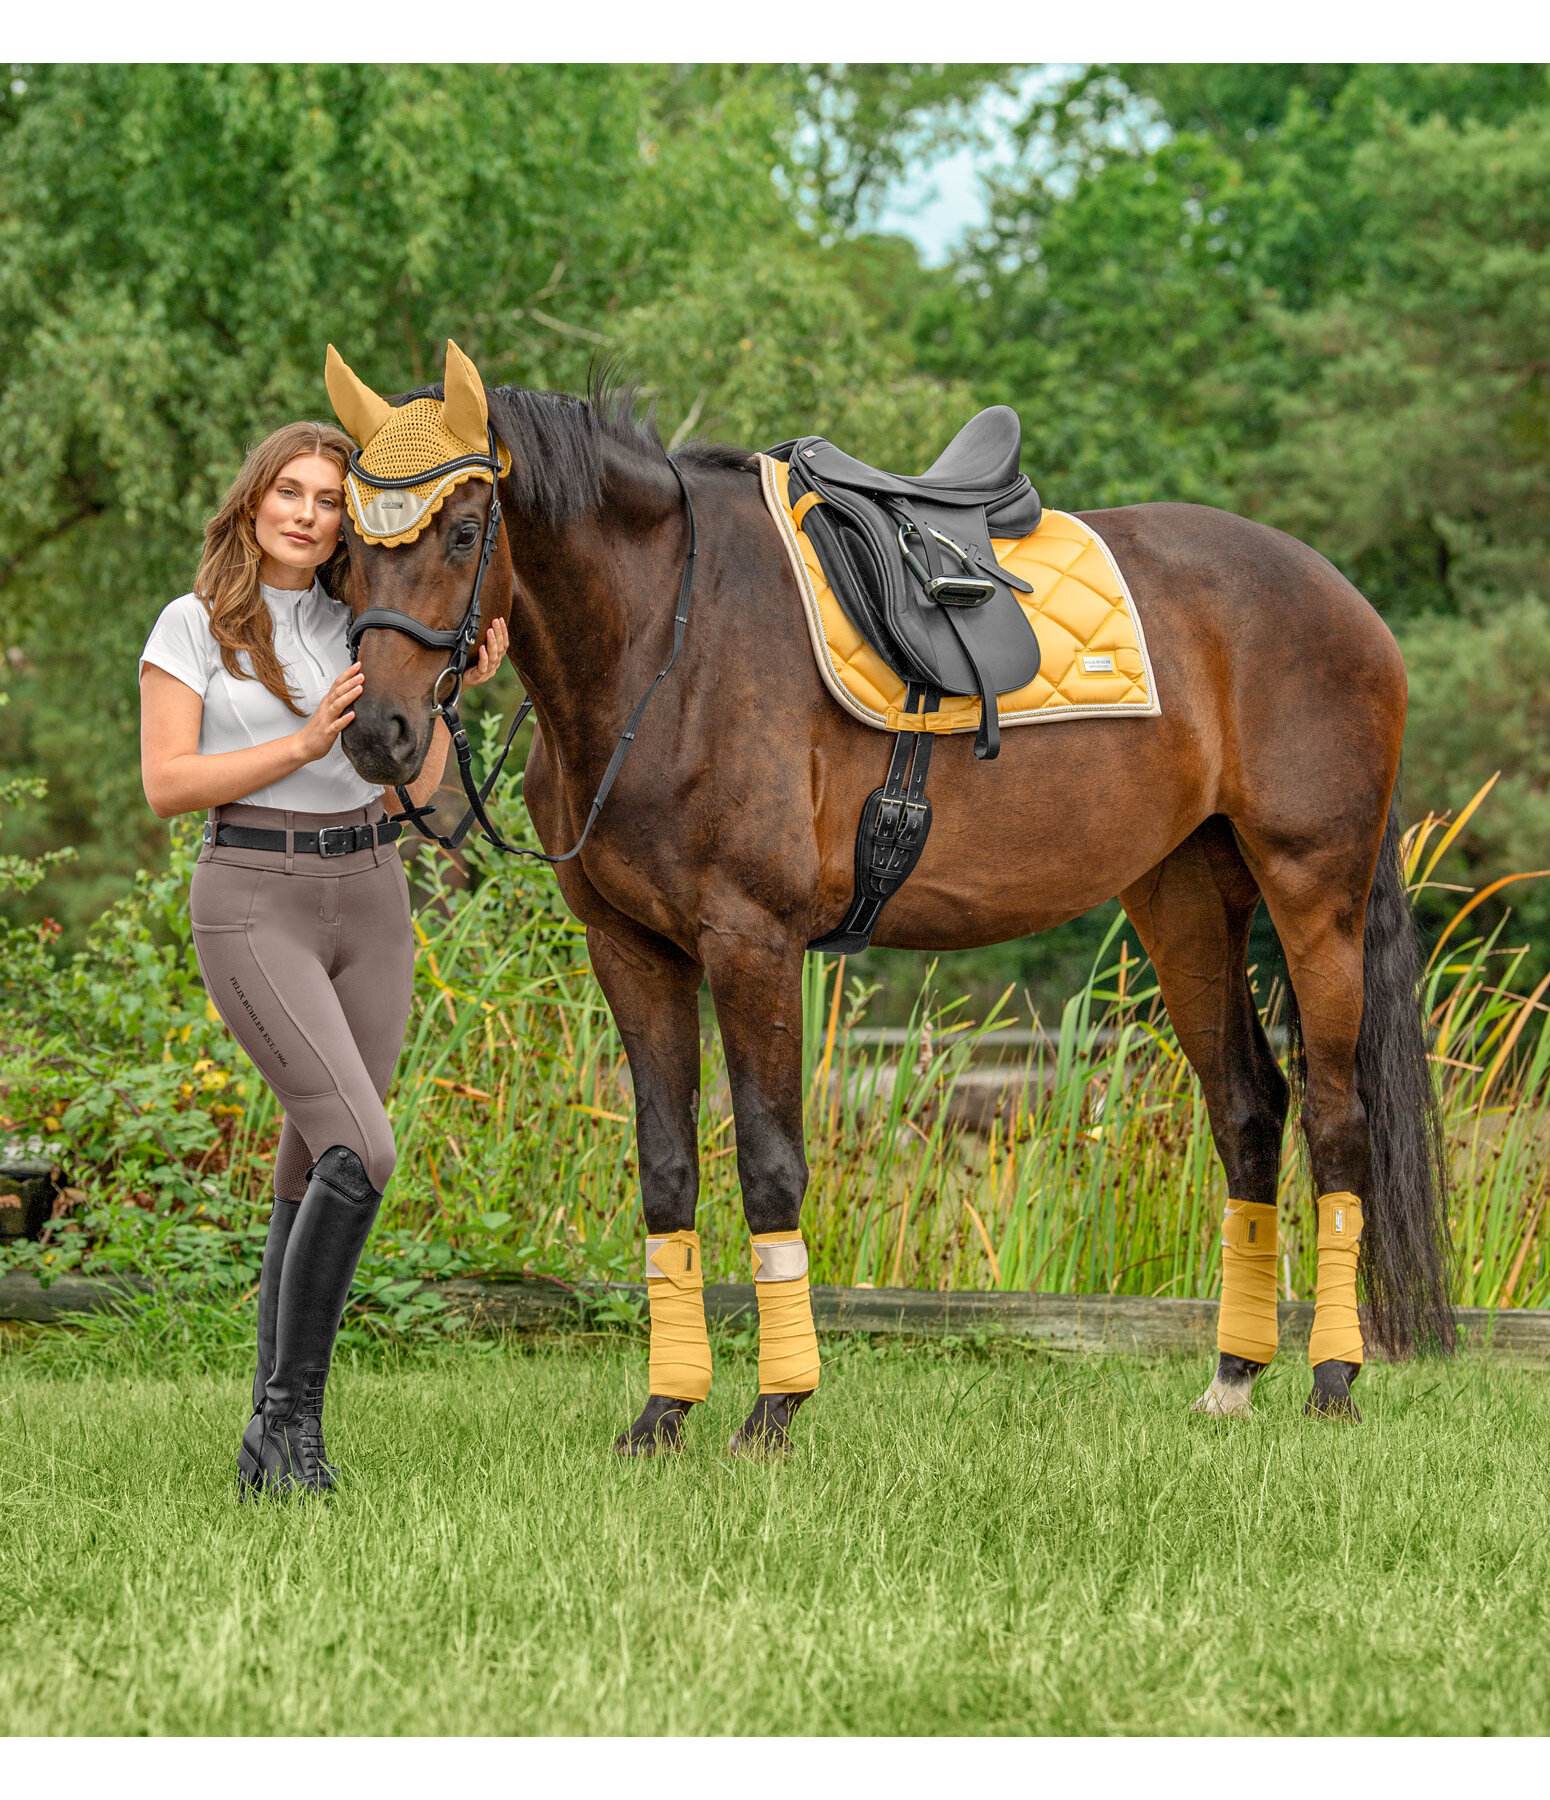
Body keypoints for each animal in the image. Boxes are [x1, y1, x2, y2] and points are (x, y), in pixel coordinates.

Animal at [328, 347, 1453, 1454]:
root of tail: (1336, 593)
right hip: (1183, 899)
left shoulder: (752, 941)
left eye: (463, 531)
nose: (379, 733)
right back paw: (1230, 1377)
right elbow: (666, 1171)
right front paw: (662, 1412)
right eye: (345, 548)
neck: (667, 645)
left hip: (1314, 889)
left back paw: (1333, 1379)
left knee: (1338, 1122)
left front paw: (773, 1409)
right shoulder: (631, 949)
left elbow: (770, 1164)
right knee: (1248, 1111)